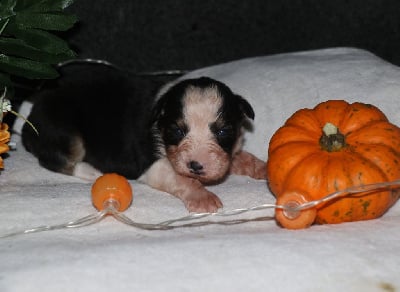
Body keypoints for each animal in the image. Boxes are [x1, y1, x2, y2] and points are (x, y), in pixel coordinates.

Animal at [21, 66, 266, 212]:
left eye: (223, 132)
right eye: (177, 131)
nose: (196, 165)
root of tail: (29, 119)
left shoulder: (228, 152)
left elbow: (242, 157)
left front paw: (263, 168)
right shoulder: (152, 165)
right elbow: (182, 179)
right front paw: (203, 198)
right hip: (64, 131)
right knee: (54, 159)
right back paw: (91, 171)